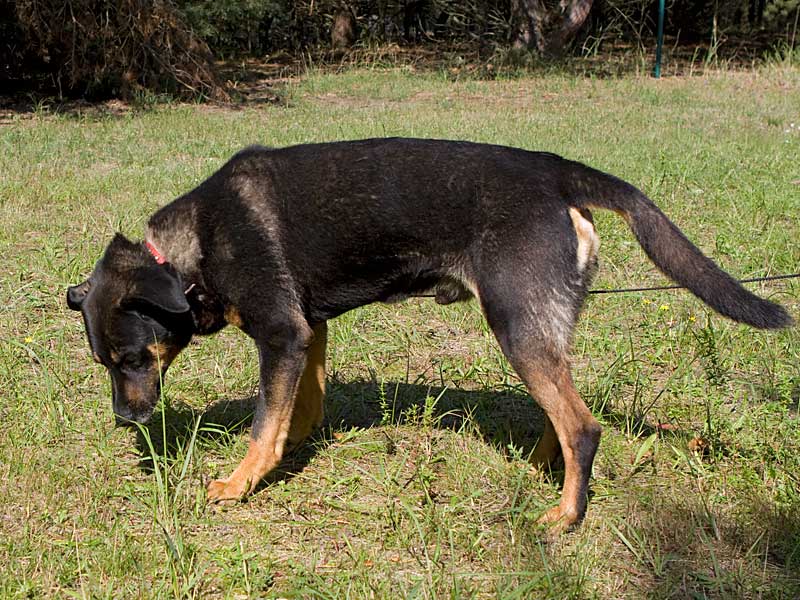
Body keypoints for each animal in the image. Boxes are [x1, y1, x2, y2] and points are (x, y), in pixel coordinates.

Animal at [67, 138, 792, 531]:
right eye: (103, 363)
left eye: (132, 358)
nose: (125, 422)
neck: (185, 257)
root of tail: (554, 169)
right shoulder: (310, 330)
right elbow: (301, 407)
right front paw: (296, 446)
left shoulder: (282, 334)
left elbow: (262, 424)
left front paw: (241, 482)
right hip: (538, 329)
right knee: (562, 415)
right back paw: (545, 469)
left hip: (514, 322)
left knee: (583, 426)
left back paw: (564, 516)